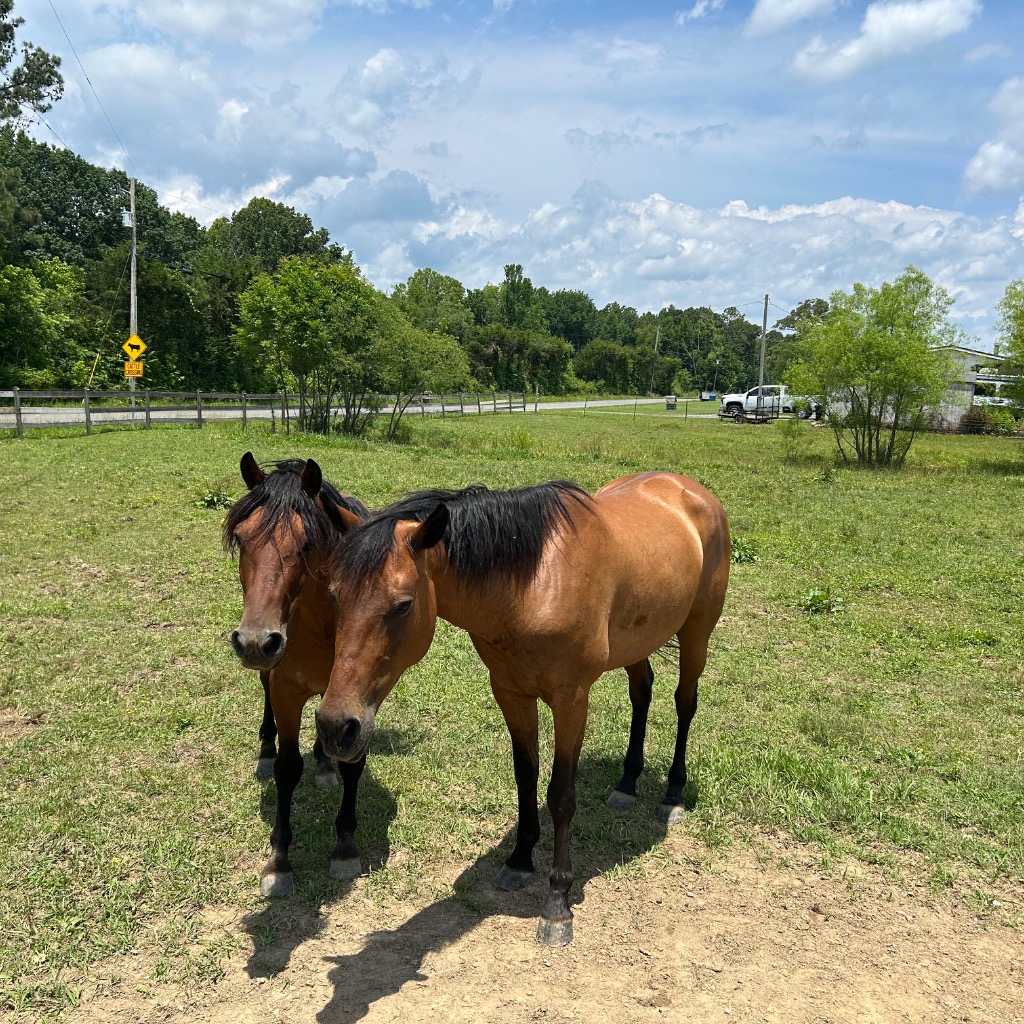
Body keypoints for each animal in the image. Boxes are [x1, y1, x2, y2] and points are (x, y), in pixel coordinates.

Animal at [224, 452, 370, 896]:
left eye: (307, 544)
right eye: (242, 539)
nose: (256, 641)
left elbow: (353, 762)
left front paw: (345, 848)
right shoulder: (285, 690)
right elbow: (288, 769)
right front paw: (279, 861)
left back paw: (323, 764)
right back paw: (265, 751)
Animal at [316, 471, 730, 946]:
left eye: (402, 605)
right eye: (333, 596)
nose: (336, 727)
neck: (533, 586)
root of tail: (691, 490)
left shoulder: (571, 700)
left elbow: (561, 795)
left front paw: (557, 902)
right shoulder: (511, 692)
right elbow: (525, 775)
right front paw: (519, 858)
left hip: (696, 633)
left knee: (685, 703)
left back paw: (673, 794)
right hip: (637, 642)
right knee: (641, 694)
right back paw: (627, 785)